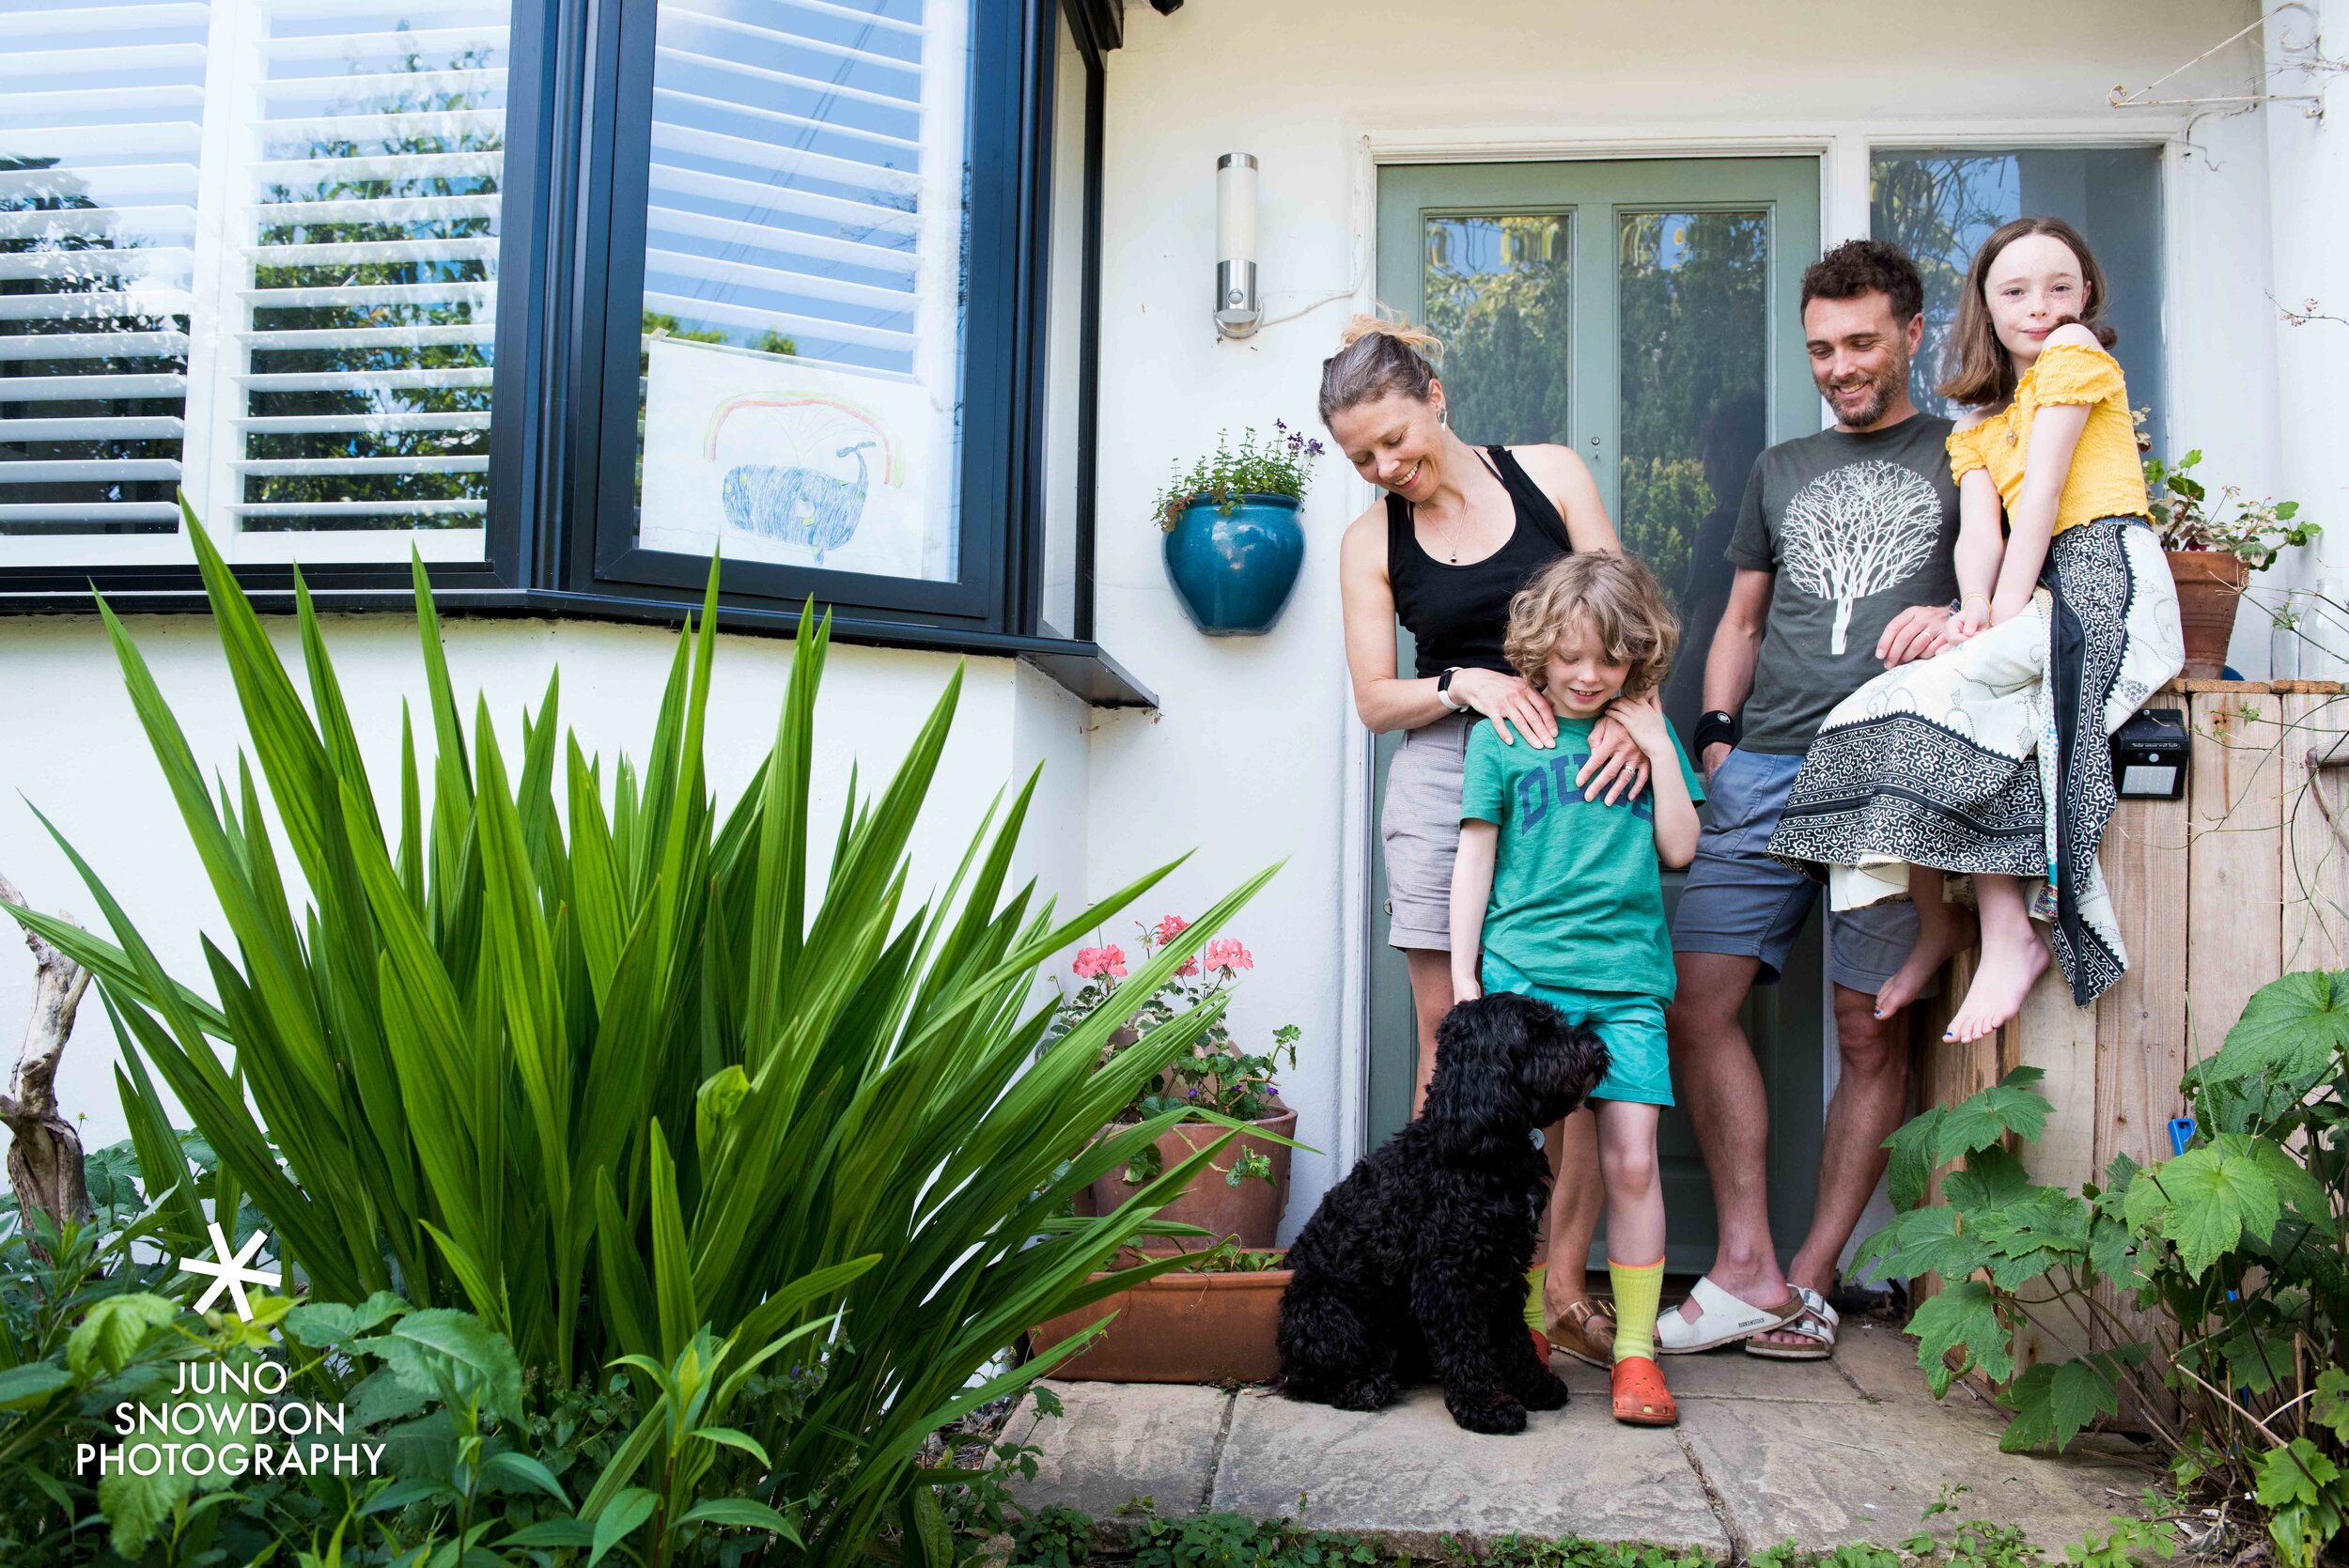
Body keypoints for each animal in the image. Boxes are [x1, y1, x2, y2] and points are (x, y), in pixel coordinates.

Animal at [1278, 990, 1607, 1436]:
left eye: (1555, 1021)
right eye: (1534, 1031)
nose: (1598, 1047)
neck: (1477, 1151)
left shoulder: (1504, 1270)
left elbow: (1513, 1338)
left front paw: (1534, 1385)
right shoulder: (1446, 1277)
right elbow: (1467, 1346)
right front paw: (1487, 1407)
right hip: (1329, 1315)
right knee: (1308, 1379)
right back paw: (1363, 1385)